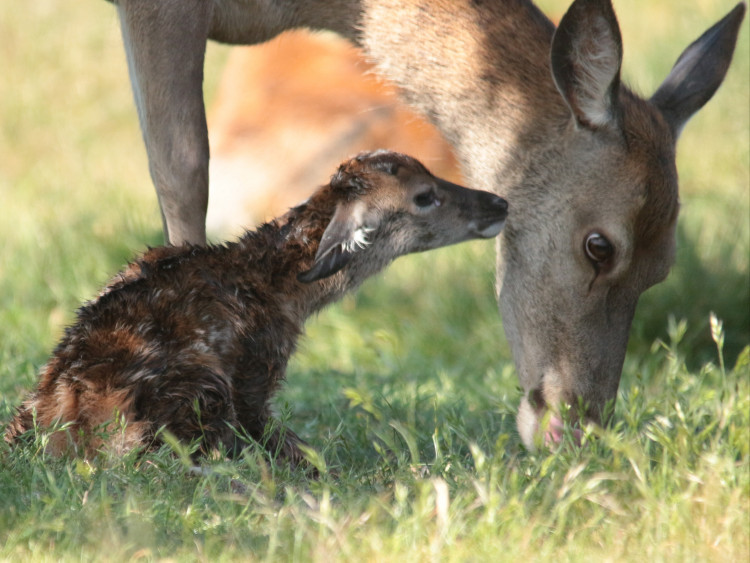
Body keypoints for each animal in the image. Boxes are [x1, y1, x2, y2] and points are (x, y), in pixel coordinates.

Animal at [2, 152, 508, 464]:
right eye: (425, 195)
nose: (499, 202)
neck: (280, 289)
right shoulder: (255, 372)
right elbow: (294, 448)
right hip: (201, 390)